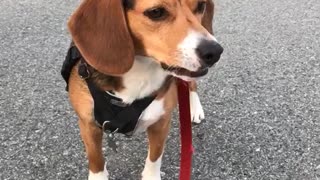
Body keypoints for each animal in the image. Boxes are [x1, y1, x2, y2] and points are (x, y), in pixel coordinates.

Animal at [65, 0, 224, 180]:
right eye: (156, 12)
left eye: (201, 5)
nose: (214, 52)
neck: (139, 71)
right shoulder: (88, 125)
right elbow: (96, 159)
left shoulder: (161, 122)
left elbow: (155, 157)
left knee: (190, 84)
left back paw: (195, 108)